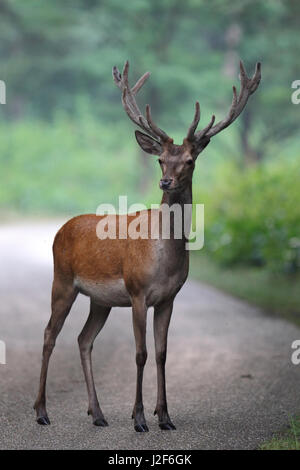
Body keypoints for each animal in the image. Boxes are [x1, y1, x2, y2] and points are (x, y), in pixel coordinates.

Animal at [34, 59, 262, 434]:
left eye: (190, 160)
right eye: (160, 159)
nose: (165, 181)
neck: (165, 259)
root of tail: (60, 229)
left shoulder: (169, 298)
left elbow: (161, 353)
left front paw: (165, 416)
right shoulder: (138, 291)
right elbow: (139, 353)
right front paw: (140, 418)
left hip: (100, 300)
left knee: (84, 339)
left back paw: (97, 413)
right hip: (62, 281)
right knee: (50, 334)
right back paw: (41, 411)